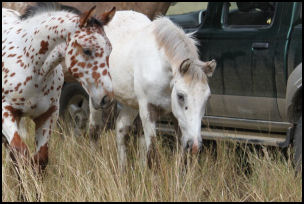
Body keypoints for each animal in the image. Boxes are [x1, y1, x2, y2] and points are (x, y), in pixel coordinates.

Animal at [1, 2, 116, 171]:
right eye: (87, 50)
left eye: (110, 50)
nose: (106, 98)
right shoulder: (6, 112)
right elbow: (20, 154)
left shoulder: (47, 115)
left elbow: (40, 160)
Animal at [88, 10, 216, 168]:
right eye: (180, 96)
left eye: (207, 97)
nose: (195, 146)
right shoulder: (148, 110)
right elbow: (152, 155)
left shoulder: (175, 117)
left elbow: (180, 158)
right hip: (98, 99)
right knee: (94, 130)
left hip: (131, 104)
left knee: (121, 130)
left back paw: (122, 170)